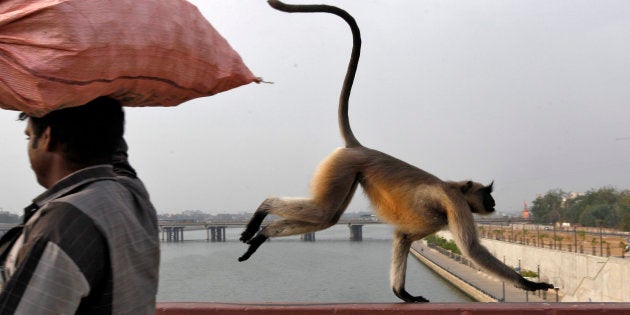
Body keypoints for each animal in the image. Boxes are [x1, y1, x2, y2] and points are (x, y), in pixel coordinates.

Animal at [239, 0, 556, 304]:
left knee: (328, 217)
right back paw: (263, 211)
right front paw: (531, 284)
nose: (493, 202)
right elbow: (472, 249)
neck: (453, 186)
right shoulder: (456, 204)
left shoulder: (420, 224)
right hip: (343, 166)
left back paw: (262, 234)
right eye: (486, 193)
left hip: (348, 171)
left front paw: (403, 294)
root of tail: (359, 147)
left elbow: (402, 236)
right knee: (324, 212)